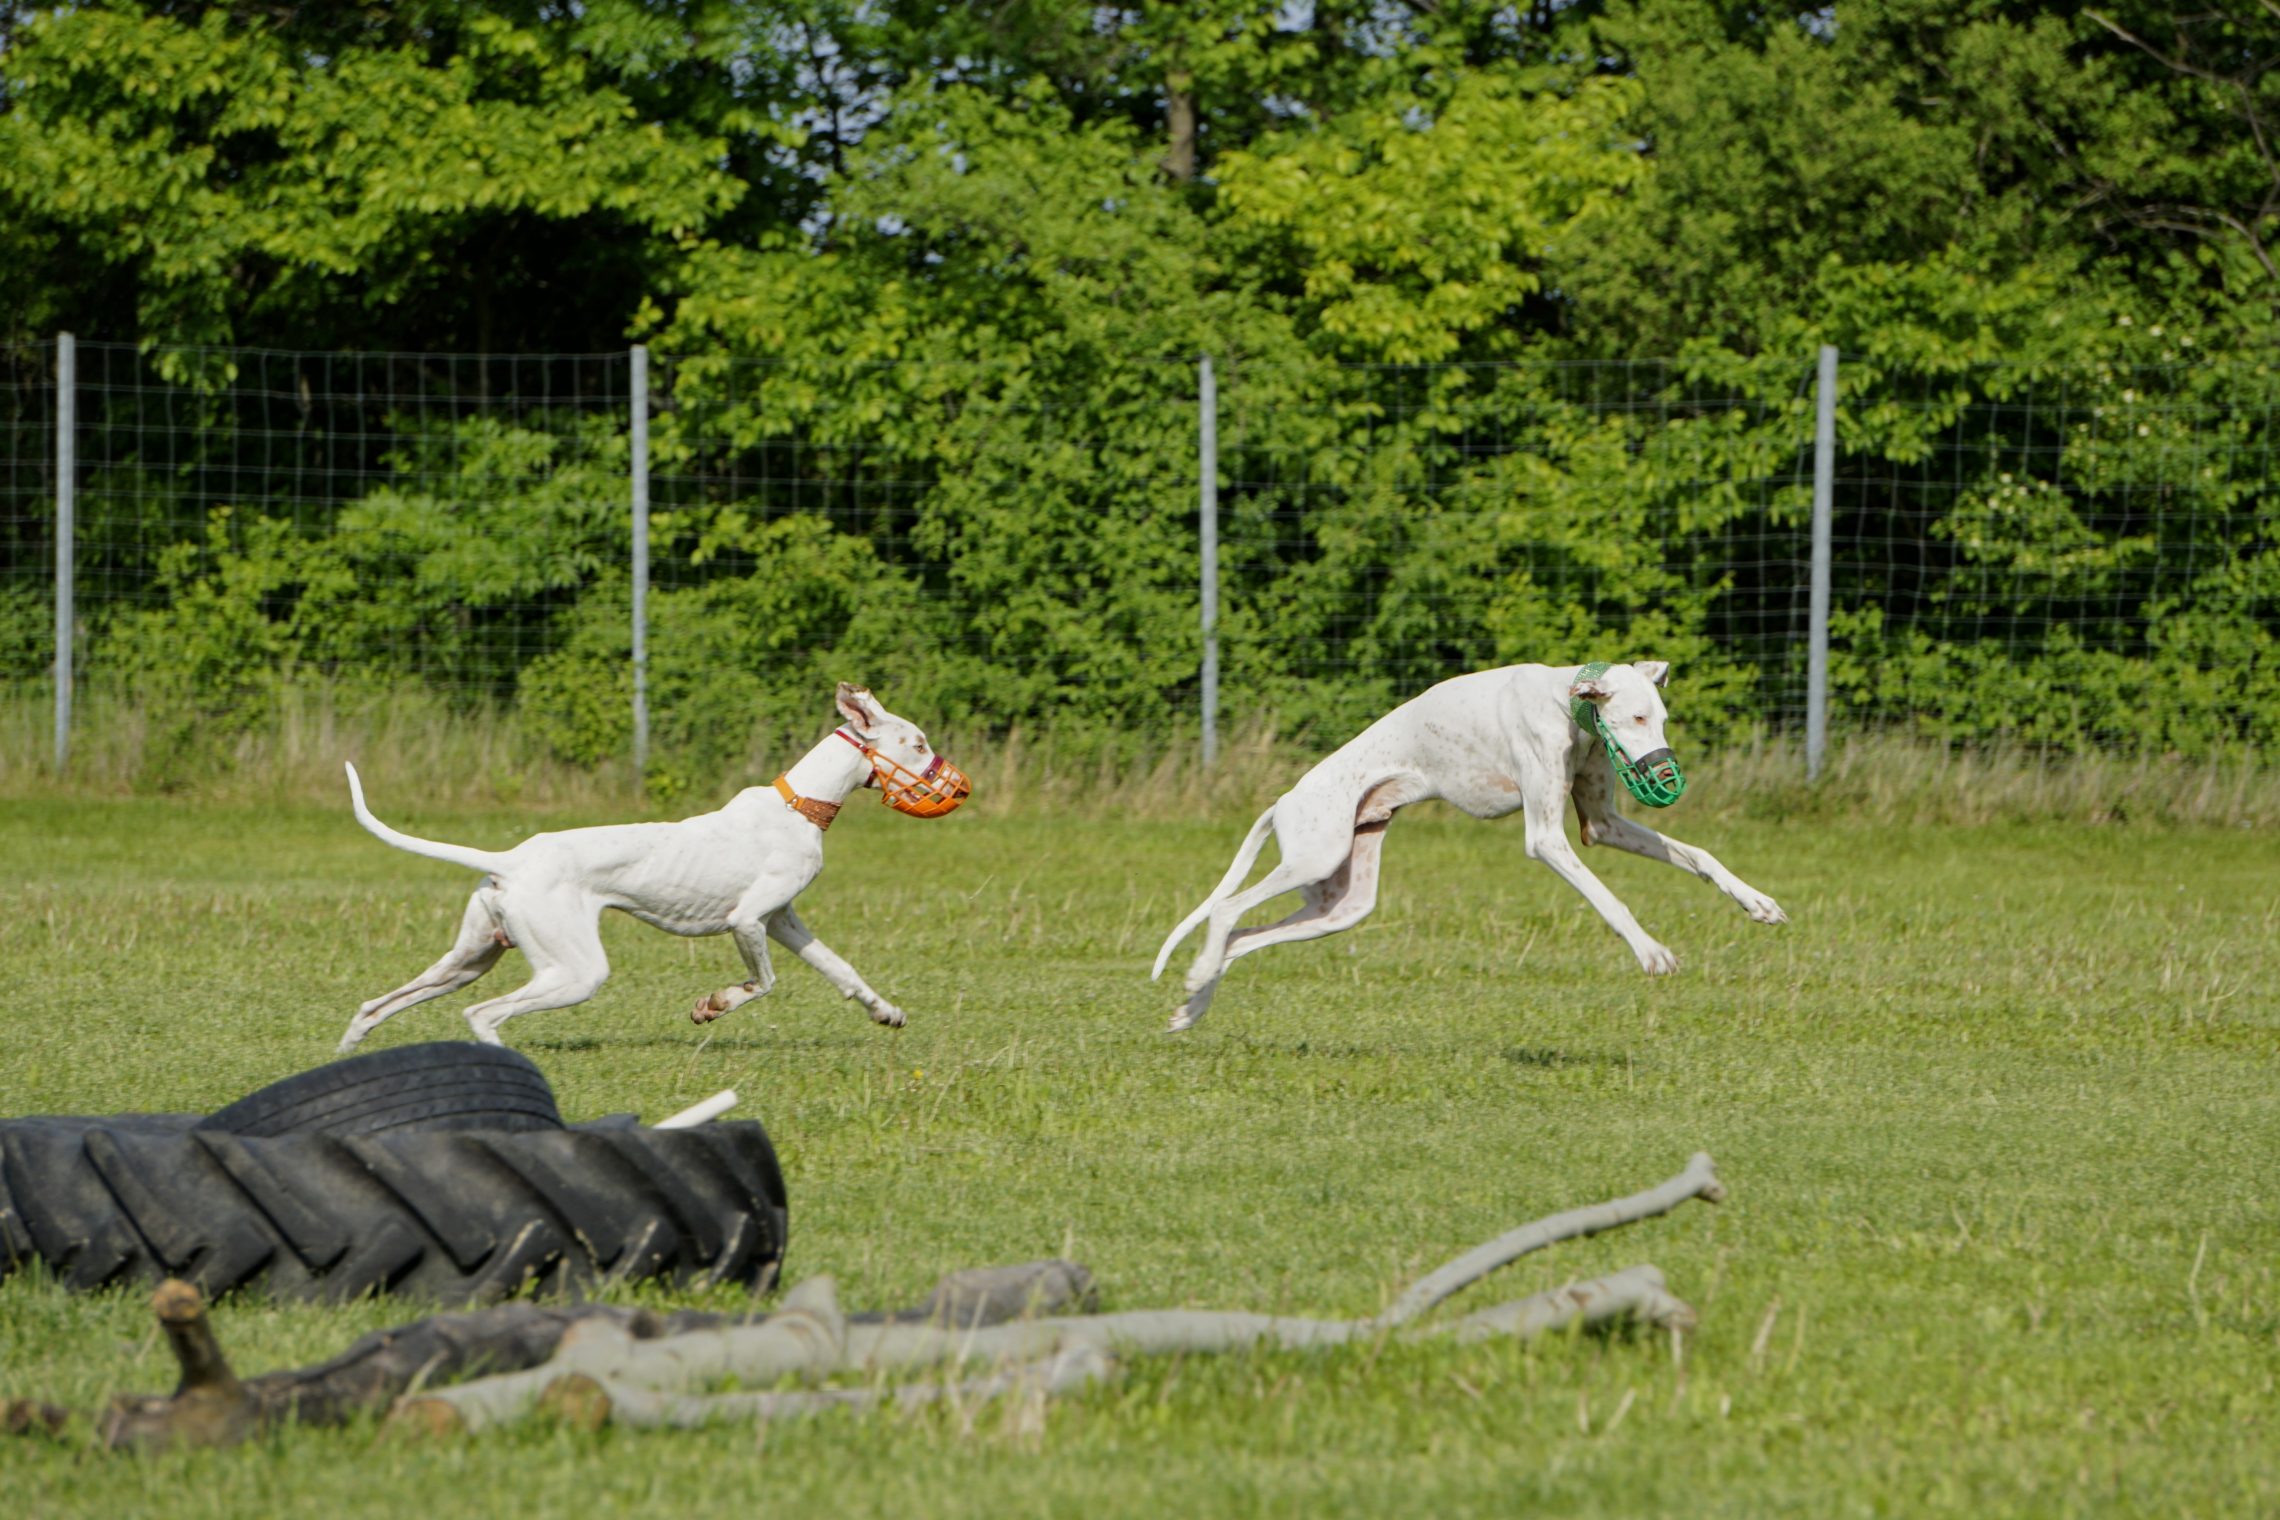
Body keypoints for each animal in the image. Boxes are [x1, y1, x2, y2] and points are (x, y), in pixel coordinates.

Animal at [335, 683, 962, 1052]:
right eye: (917, 742)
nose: (959, 787)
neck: (798, 805)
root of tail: (510, 858)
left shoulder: (783, 919)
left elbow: (843, 970)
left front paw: (887, 1012)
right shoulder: (748, 921)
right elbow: (762, 984)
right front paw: (713, 1006)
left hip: (470, 958)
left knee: (374, 1006)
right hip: (573, 971)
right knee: (483, 1015)